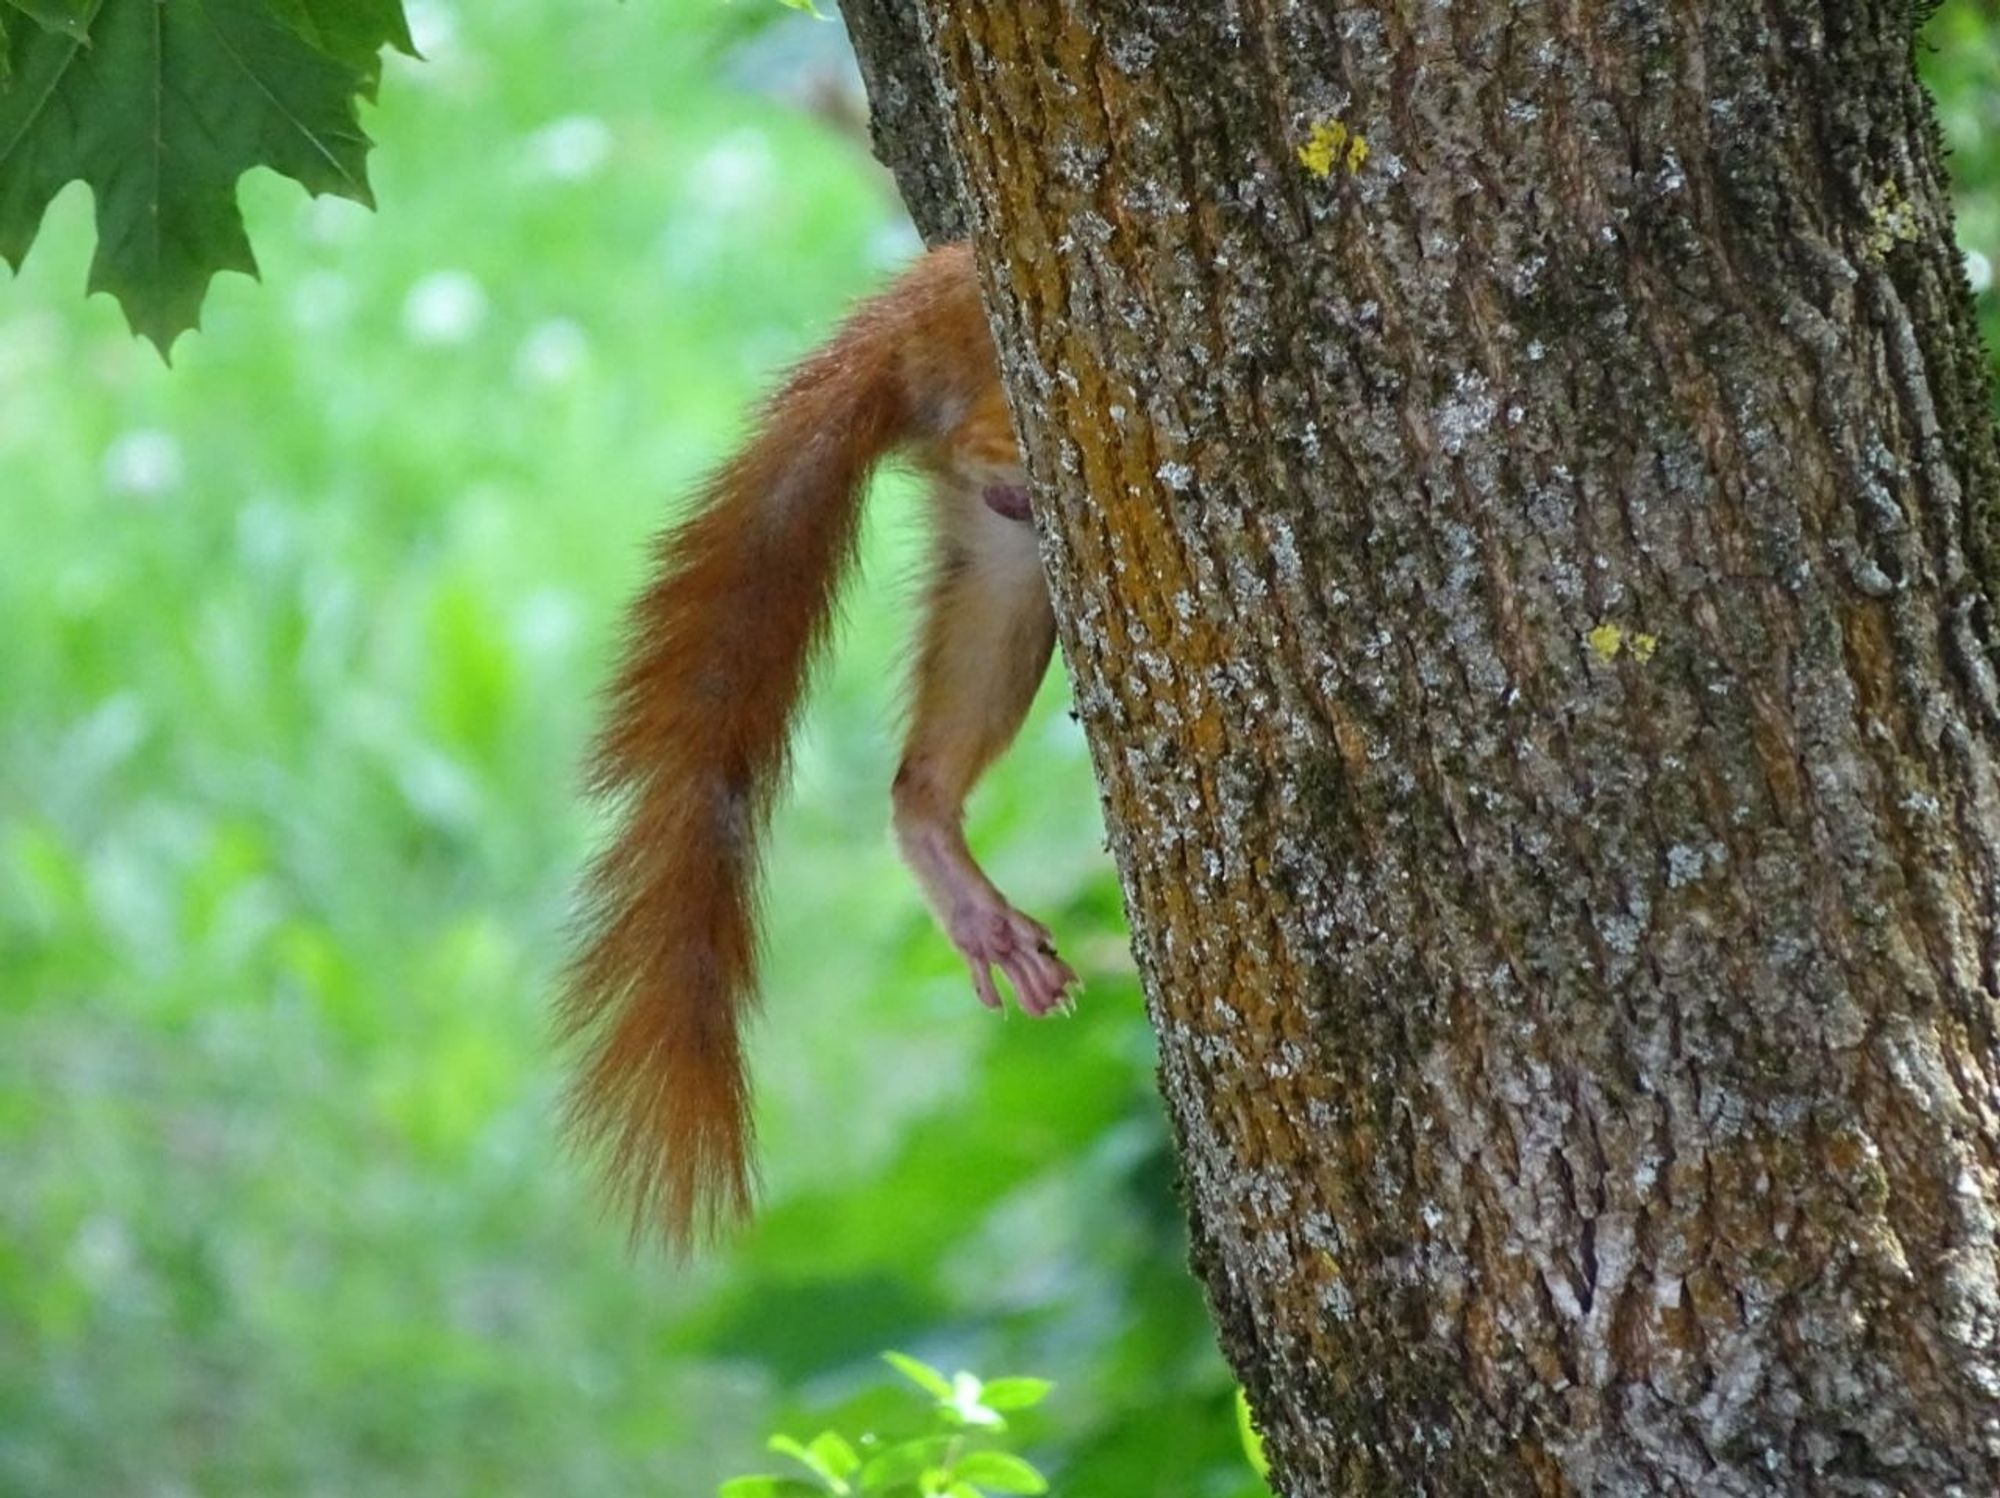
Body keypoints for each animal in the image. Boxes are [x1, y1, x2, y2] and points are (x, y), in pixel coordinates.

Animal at [564, 245, 1080, 1248]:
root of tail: (926, 295)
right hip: (1004, 387)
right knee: (984, 439)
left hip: (1002, 560)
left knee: (928, 763)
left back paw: (951, 865)